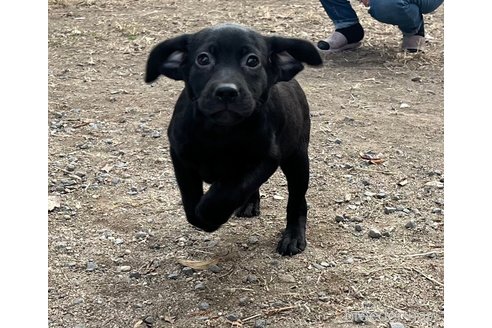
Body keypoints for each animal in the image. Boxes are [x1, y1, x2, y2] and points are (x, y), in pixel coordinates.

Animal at [146, 23, 322, 256]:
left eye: (252, 61)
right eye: (203, 59)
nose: (226, 92)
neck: (220, 133)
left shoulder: (265, 159)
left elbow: (229, 189)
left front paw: (210, 213)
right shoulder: (180, 155)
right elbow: (190, 199)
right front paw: (202, 215)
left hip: (297, 159)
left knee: (297, 200)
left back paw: (293, 236)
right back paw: (249, 204)